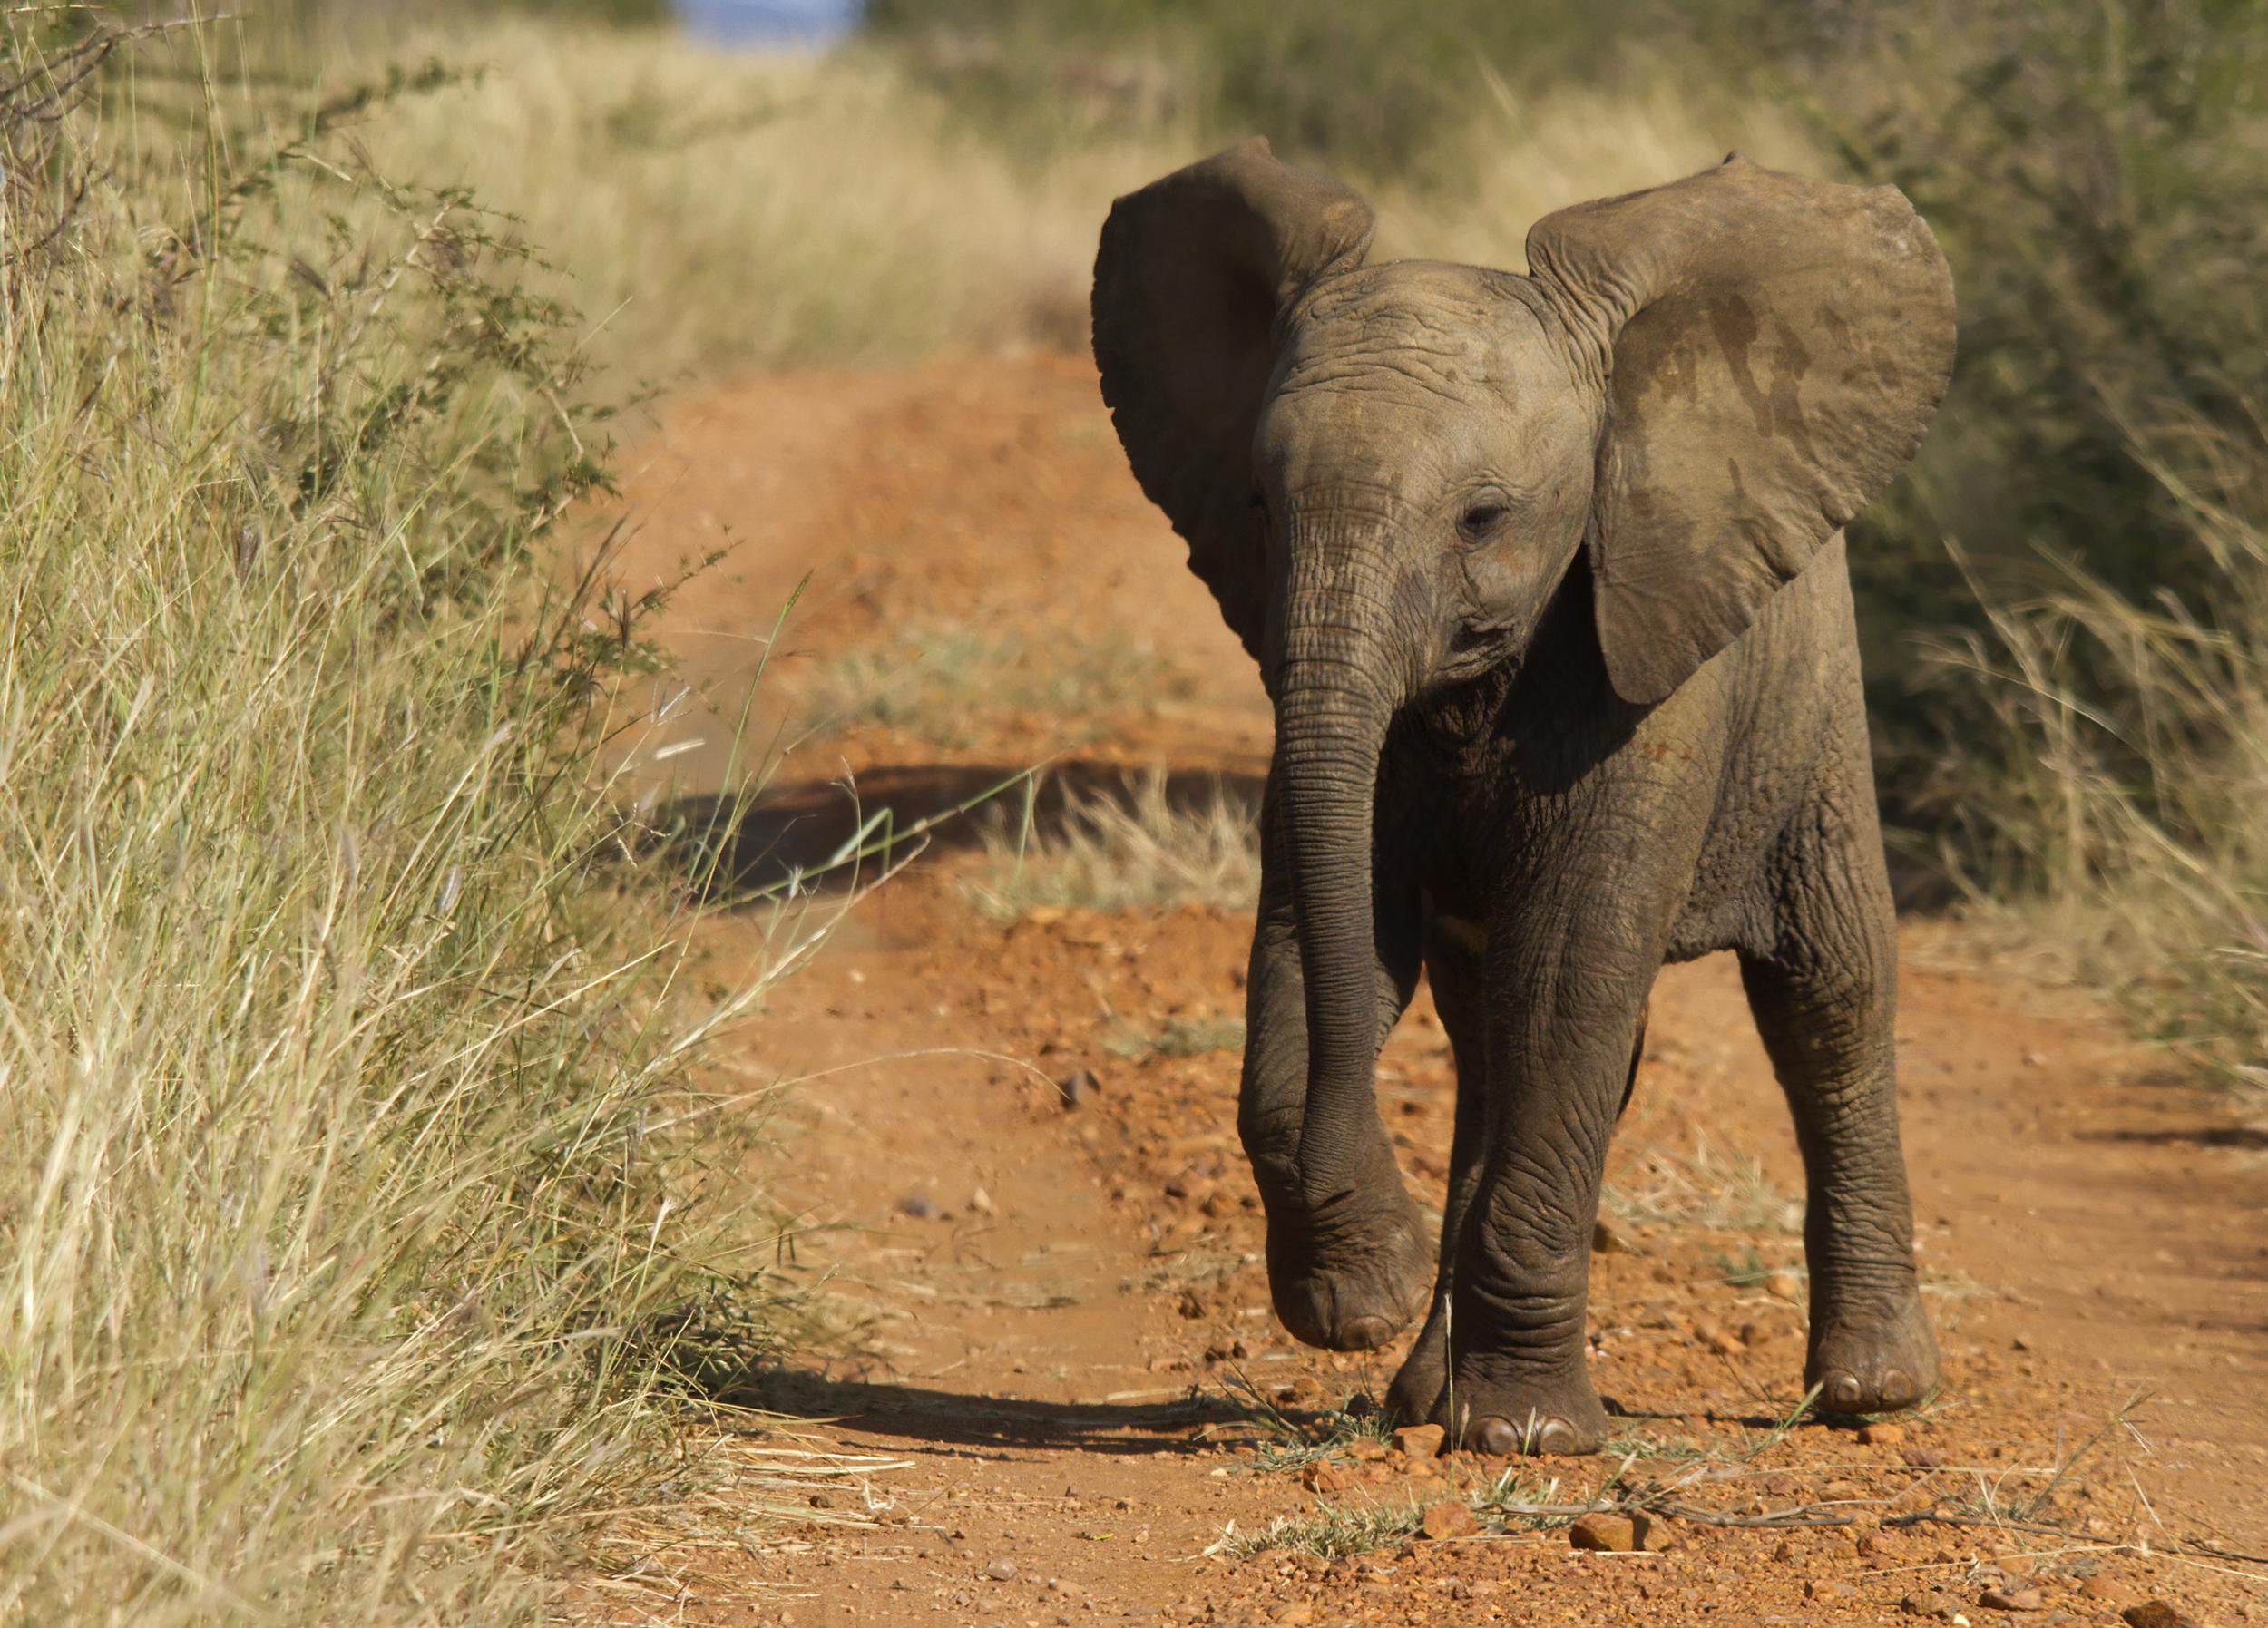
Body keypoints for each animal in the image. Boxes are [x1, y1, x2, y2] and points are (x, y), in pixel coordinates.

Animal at [1093, 146, 1950, 1460]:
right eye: (1257, 507)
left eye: (1482, 518)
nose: (1368, 1256)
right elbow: (1322, 943)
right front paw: (1369, 1298)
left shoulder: (1650, 683)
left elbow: (1568, 981)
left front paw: (1529, 1437)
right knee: (1490, 1037)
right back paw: (1420, 1398)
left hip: (1811, 705)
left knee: (1826, 991)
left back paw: (1870, 1393)